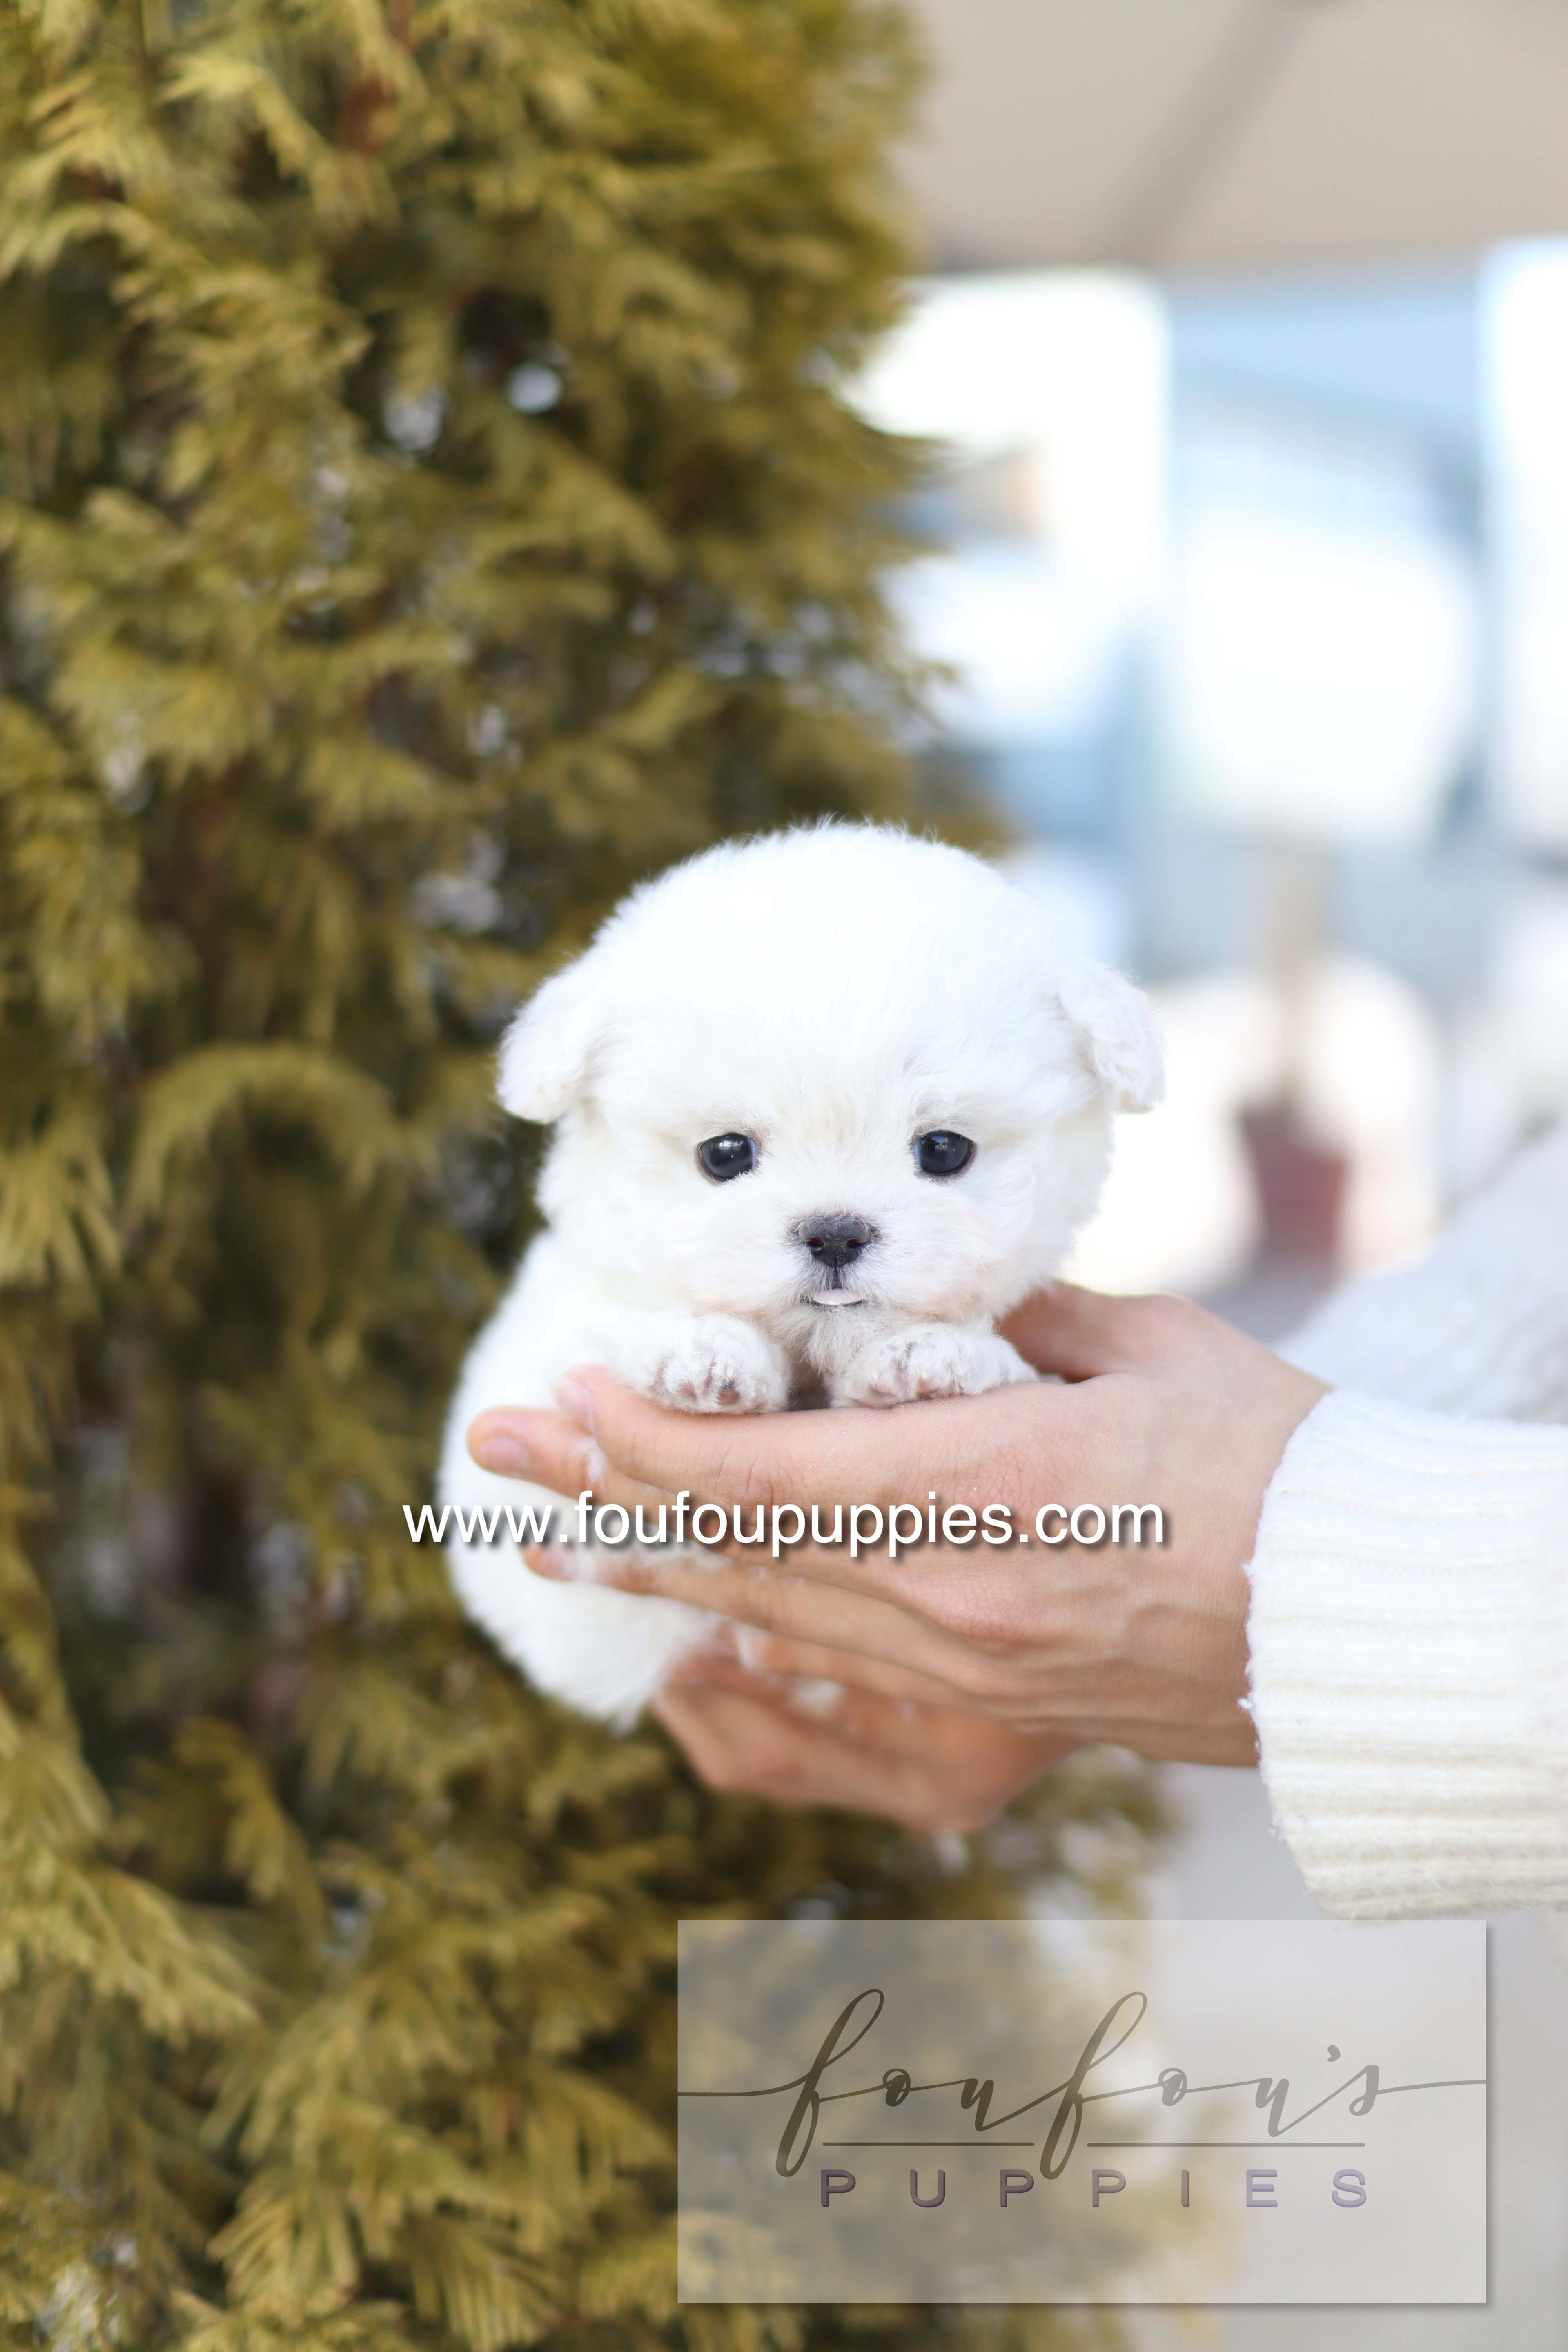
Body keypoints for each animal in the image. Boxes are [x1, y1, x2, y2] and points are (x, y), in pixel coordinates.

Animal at [435, 828, 1161, 1731]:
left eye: (944, 1150)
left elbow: (1017, 1366)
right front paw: (700, 1353)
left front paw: (936, 1359)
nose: (835, 1232)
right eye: (725, 1154)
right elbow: (599, 1334)